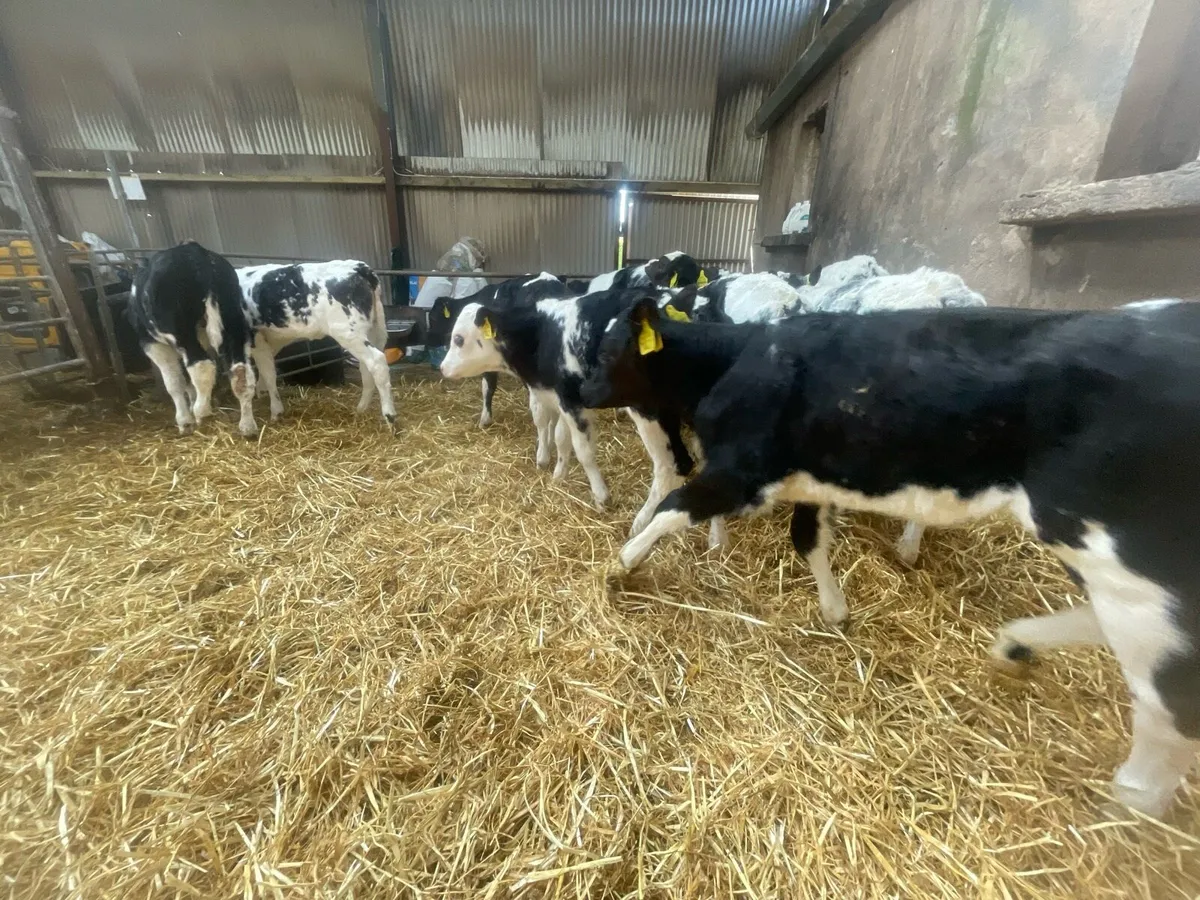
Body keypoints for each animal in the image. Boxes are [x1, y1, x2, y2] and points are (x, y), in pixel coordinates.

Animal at [127, 241, 257, 437]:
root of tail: (195, 251)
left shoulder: (153, 344)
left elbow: (174, 383)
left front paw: (184, 420)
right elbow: (187, 382)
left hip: (183, 333)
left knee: (202, 366)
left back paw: (202, 412)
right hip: (234, 325)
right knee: (241, 373)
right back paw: (247, 426)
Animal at [235, 260, 394, 425]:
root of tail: (357, 266)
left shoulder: (255, 338)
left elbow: (267, 374)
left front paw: (275, 412)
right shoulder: (271, 339)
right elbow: (266, 370)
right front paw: (262, 394)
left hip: (348, 332)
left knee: (377, 362)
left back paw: (389, 416)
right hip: (372, 331)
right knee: (365, 367)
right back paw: (361, 409)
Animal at [581, 297, 1200, 819]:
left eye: (609, 350)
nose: (581, 392)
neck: (736, 360)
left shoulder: (742, 473)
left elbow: (674, 506)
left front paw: (620, 566)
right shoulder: (809, 479)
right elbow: (808, 538)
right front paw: (835, 610)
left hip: (1125, 557)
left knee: (1163, 699)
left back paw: (1129, 802)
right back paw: (1014, 645)